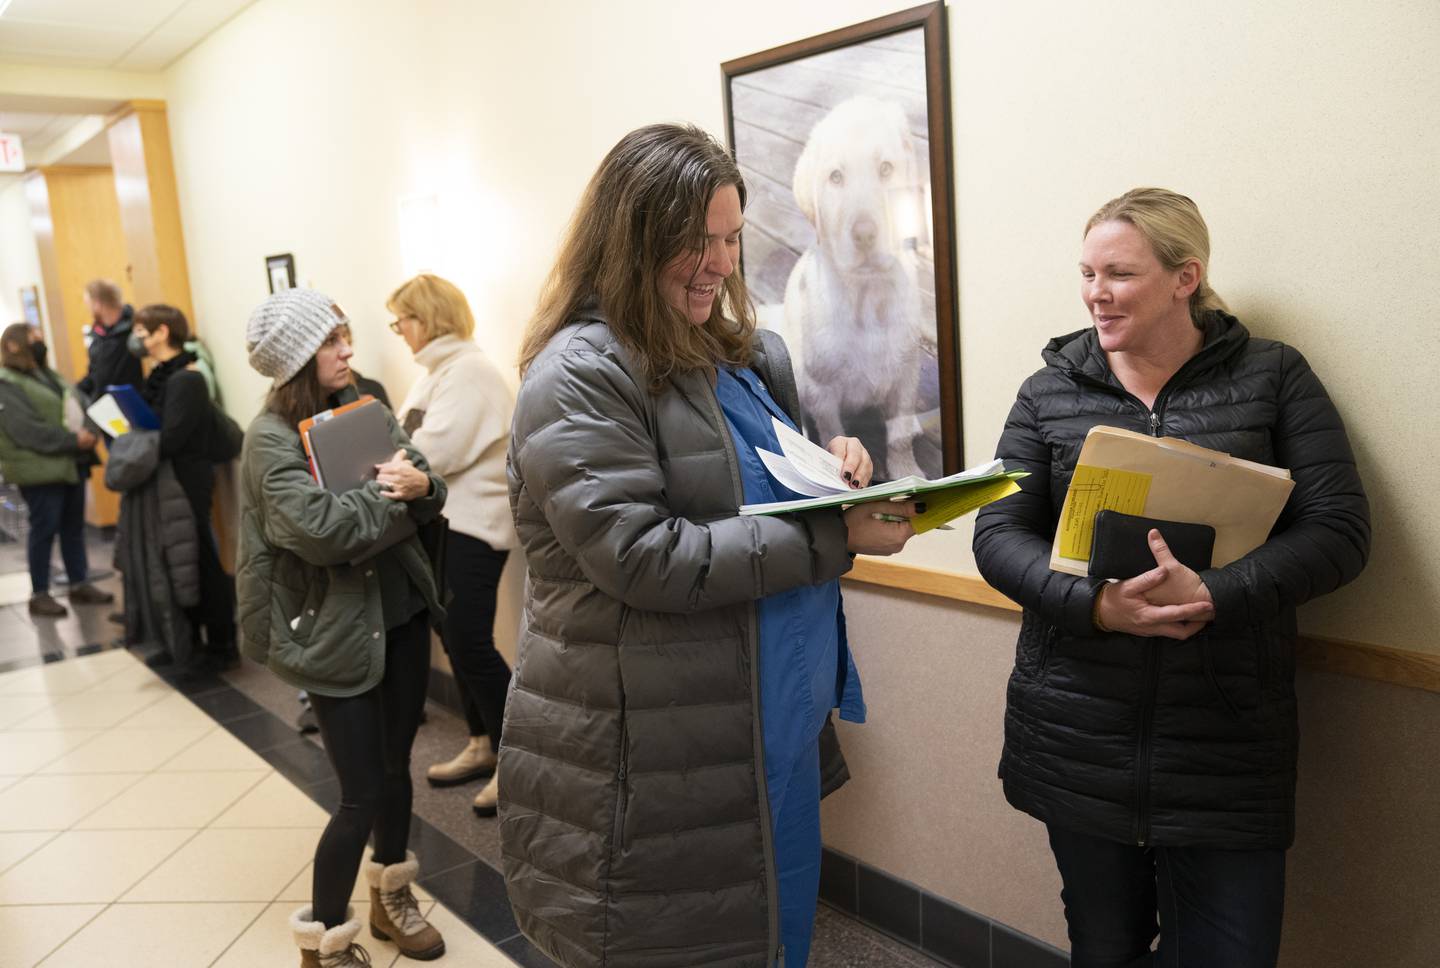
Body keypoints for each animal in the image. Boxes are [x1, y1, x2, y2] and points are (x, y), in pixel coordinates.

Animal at [783, 94, 927, 481]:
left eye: (886, 169)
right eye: (836, 177)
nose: (864, 234)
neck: (867, 297)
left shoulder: (906, 373)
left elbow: (899, 433)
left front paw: (907, 470)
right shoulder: (822, 391)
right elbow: (831, 430)